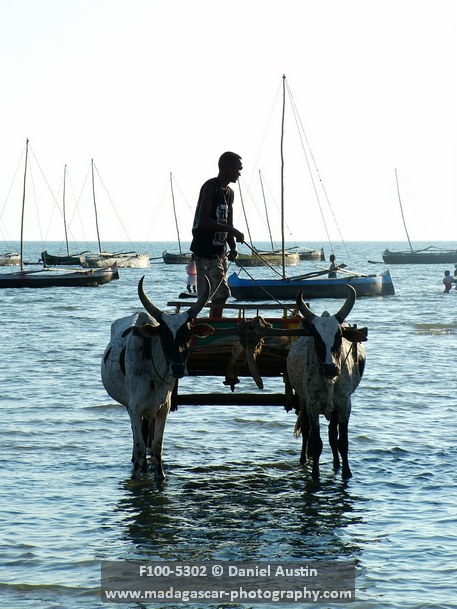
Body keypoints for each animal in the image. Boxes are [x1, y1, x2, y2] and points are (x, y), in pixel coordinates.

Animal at [101, 275, 211, 480]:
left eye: (188, 335)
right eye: (164, 336)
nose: (178, 368)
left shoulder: (163, 407)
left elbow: (157, 445)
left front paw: (160, 474)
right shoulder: (135, 408)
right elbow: (139, 446)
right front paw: (135, 475)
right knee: (138, 438)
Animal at [286, 285, 367, 480]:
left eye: (339, 335)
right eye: (316, 336)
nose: (330, 368)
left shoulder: (344, 405)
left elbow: (342, 441)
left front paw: (347, 472)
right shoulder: (312, 405)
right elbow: (316, 443)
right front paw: (315, 474)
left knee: (332, 435)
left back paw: (336, 464)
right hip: (302, 400)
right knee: (306, 430)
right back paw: (303, 459)